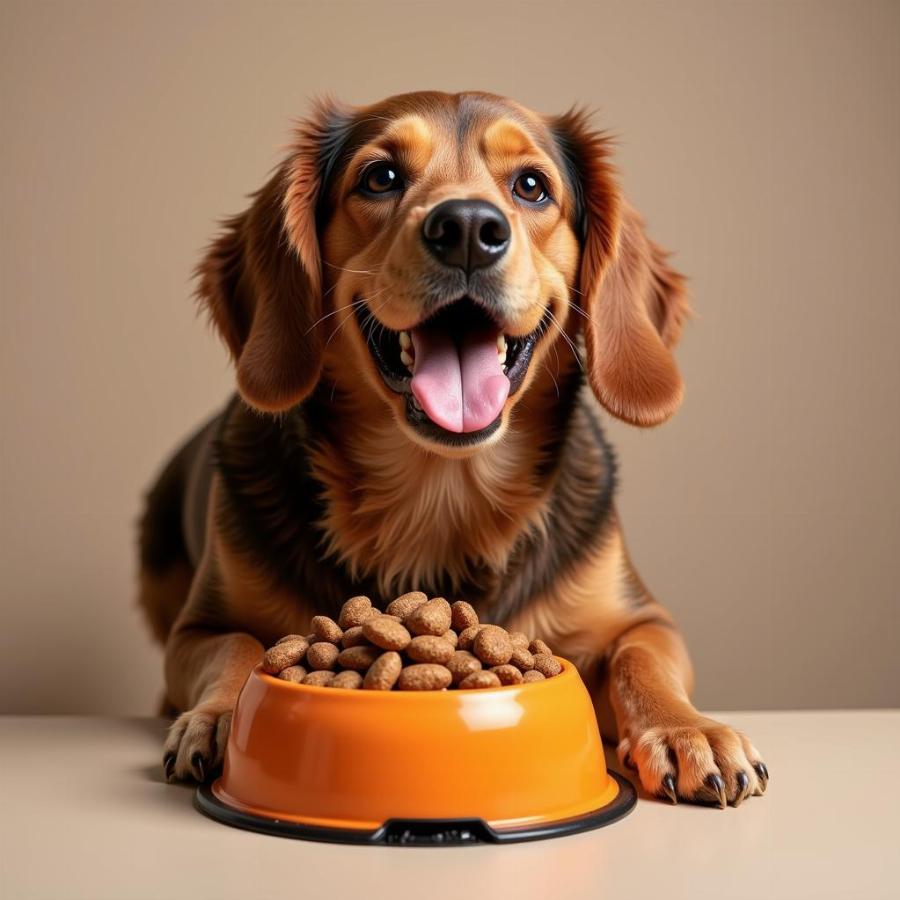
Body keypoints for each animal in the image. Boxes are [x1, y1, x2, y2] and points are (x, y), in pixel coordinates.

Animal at [139, 93, 768, 808]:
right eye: (380, 177)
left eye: (532, 185)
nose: (467, 227)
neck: (439, 490)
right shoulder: (197, 629)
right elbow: (240, 647)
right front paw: (218, 717)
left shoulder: (644, 620)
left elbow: (642, 661)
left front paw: (689, 730)